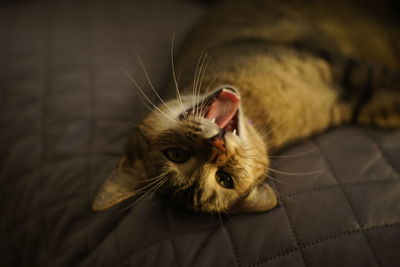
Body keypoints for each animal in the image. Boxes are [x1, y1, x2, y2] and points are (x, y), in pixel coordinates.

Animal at [92, 0, 398, 214]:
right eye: (224, 178)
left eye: (176, 154)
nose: (217, 147)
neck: (261, 112)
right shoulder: (344, 96)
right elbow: (369, 102)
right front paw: (388, 112)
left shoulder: (335, 63)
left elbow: (381, 76)